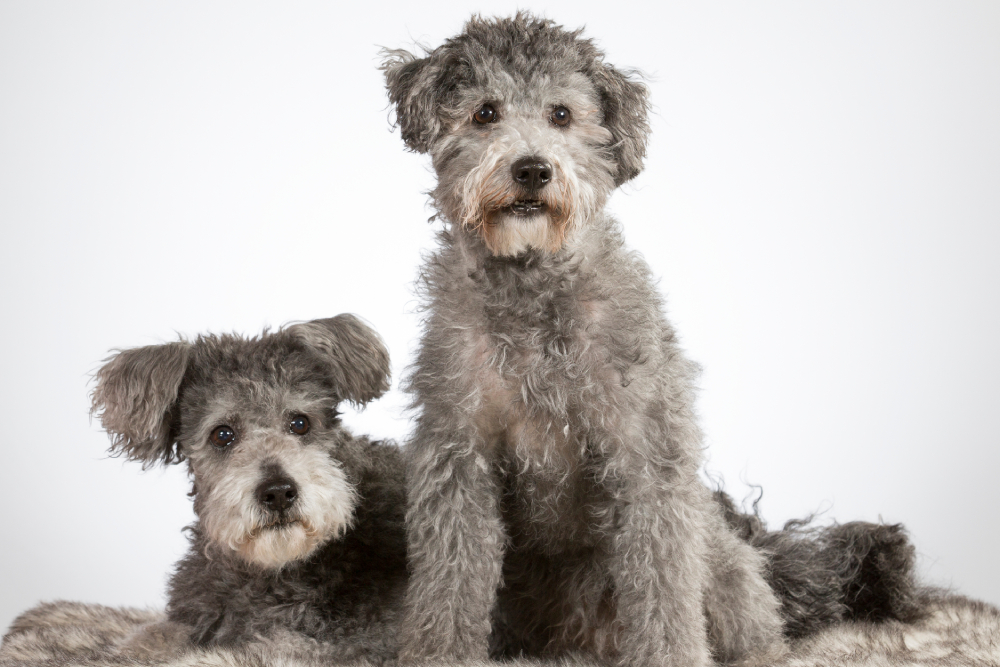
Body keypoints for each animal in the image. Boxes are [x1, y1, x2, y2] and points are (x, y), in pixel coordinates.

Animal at [384, 11, 920, 667]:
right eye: (486, 113)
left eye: (561, 114)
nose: (532, 169)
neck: (535, 294)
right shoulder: (458, 458)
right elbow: (450, 584)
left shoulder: (648, 458)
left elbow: (662, 587)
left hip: (720, 561)